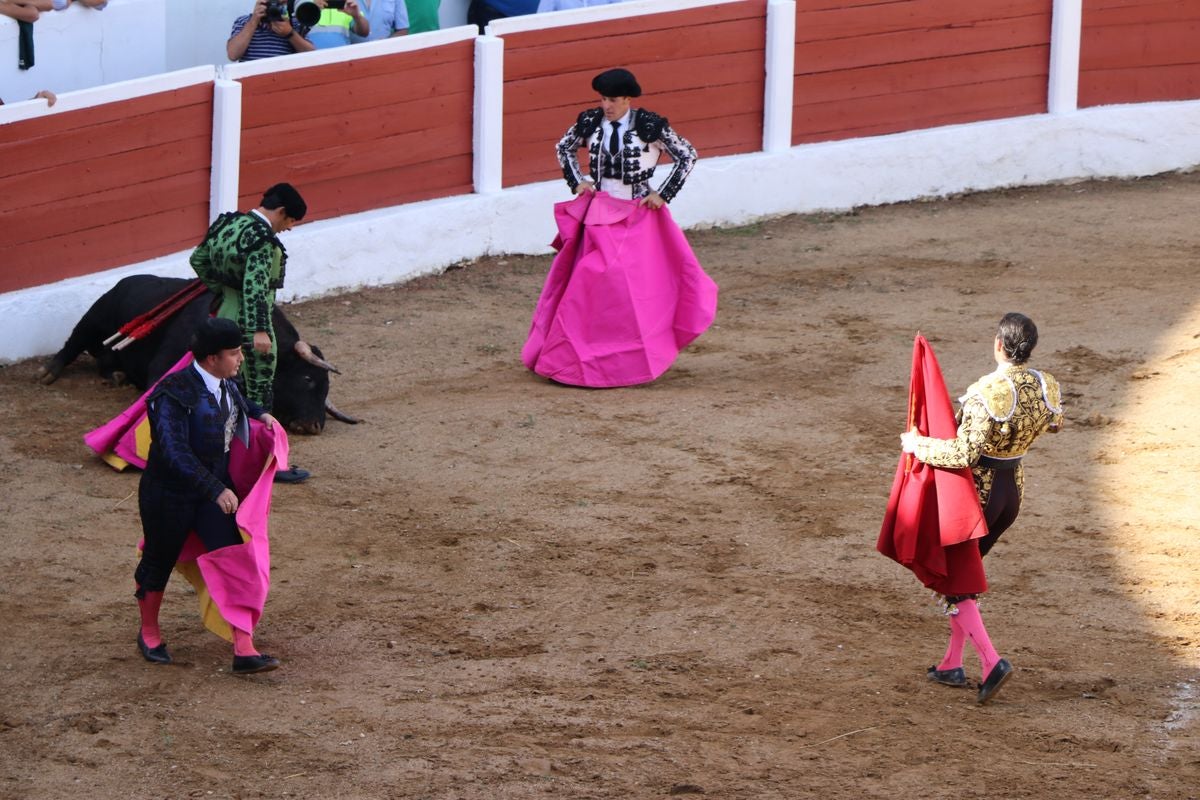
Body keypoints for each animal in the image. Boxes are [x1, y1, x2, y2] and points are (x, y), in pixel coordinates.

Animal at [38, 275, 355, 438]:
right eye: (307, 378)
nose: (315, 425)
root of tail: (122, 282)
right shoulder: (163, 366)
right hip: (94, 316)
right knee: (74, 341)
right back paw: (49, 372)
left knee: (104, 359)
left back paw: (115, 376)